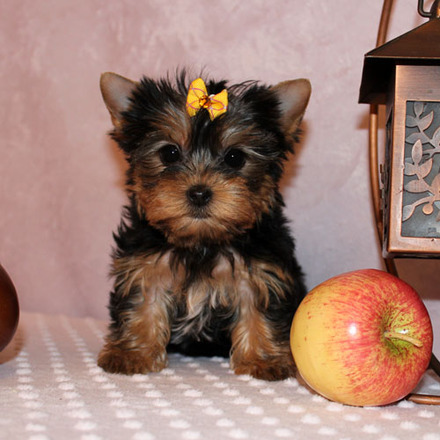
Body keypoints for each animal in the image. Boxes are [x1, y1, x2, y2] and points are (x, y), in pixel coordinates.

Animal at [98, 70, 312, 380]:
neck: (202, 242)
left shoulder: (261, 270)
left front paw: (264, 359)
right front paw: (131, 353)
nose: (199, 193)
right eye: (169, 153)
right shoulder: (144, 265)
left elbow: (260, 308)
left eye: (235, 157)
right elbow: (141, 304)